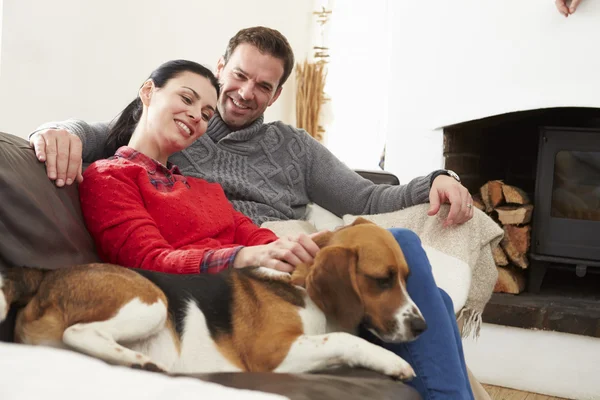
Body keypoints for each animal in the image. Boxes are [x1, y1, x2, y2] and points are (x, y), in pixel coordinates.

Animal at [0, 219, 426, 378]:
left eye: (407, 278)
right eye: (382, 280)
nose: (422, 326)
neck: (301, 285)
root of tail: (45, 275)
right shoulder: (272, 354)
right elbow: (342, 339)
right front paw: (391, 362)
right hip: (152, 300)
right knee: (78, 334)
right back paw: (138, 360)